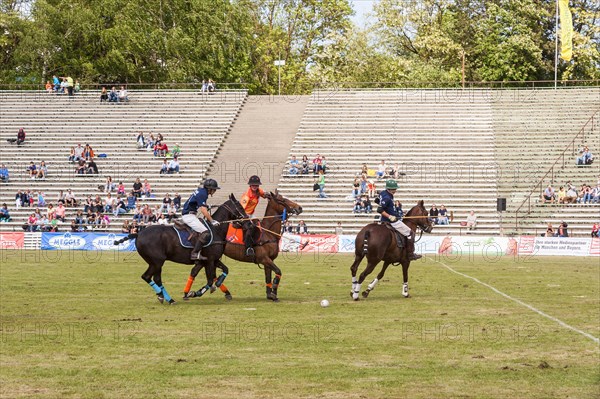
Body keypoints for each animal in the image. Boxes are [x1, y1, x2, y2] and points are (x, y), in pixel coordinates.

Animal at [115, 195, 246, 304]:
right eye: (240, 206)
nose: (246, 218)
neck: (215, 230)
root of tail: (138, 233)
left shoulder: (210, 260)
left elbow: (223, 271)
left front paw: (220, 287)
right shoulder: (209, 260)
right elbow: (209, 280)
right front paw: (195, 293)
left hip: (155, 262)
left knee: (155, 278)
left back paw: (165, 297)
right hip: (157, 261)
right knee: (148, 277)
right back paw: (165, 297)